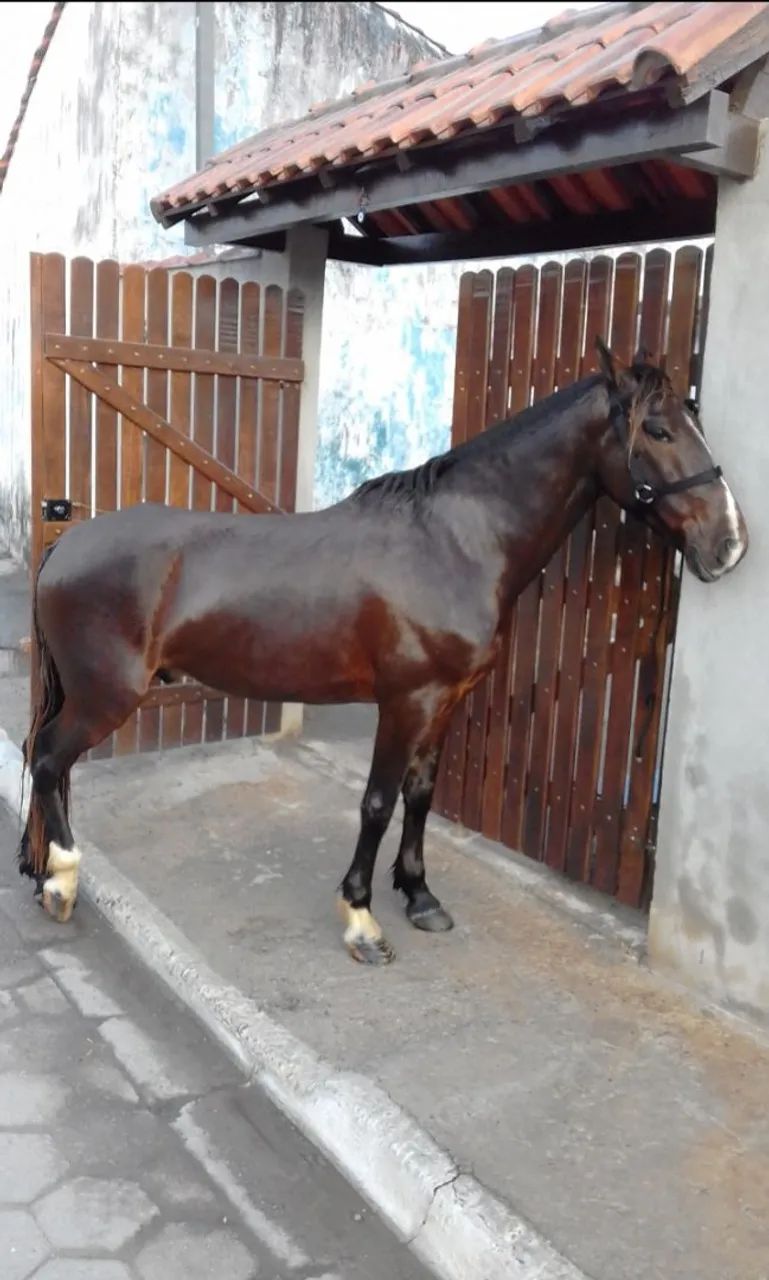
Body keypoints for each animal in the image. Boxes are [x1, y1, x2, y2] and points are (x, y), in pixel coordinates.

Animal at [19, 339, 747, 964]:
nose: (730, 543)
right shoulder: (404, 702)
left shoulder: (445, 701)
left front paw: (420, 897)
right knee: (50, 758)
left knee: (45, 759)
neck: (453, 542)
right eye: (658, 431)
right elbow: (376, 801)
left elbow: (419, 796)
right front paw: (362, 918)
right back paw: (62, 880)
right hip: (107, 695)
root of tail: (67, 543)